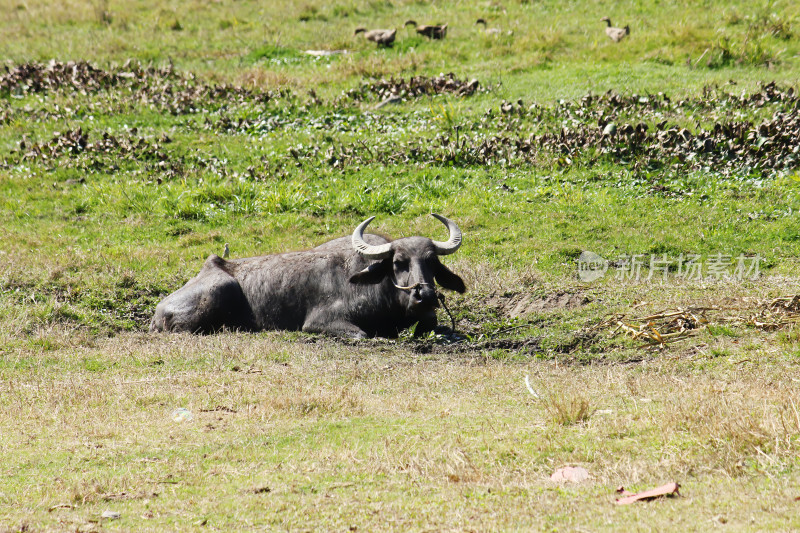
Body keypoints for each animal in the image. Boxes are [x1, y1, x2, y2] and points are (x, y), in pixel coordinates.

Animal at [150, 213, 466, 334]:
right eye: (399, 262)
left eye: (432, 262)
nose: (424, 295)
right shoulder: (319, 323)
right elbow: (361, 334)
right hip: (219, 290)